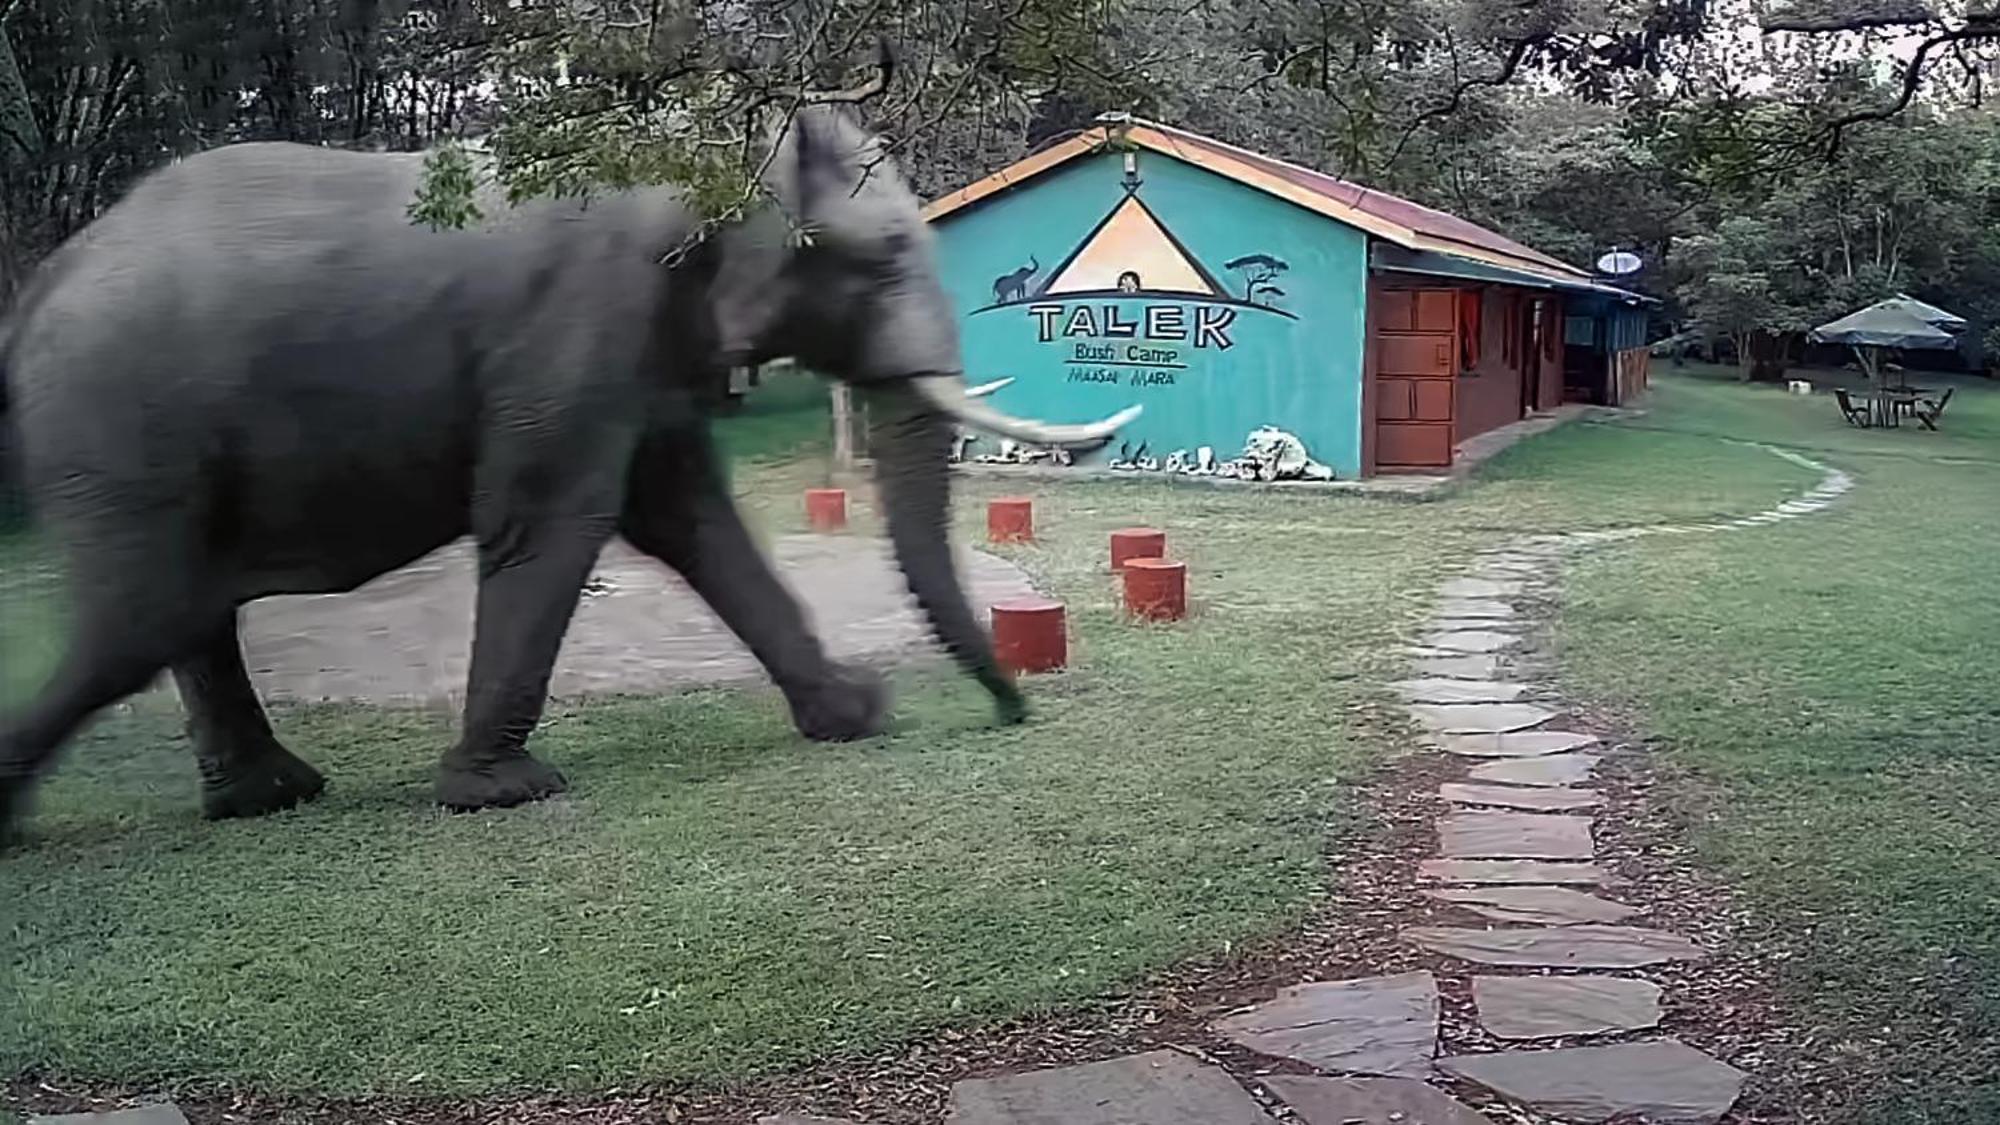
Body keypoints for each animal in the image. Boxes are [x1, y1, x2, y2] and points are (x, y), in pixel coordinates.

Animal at [0, 105, 1136, 836]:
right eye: (883, 257)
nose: (1009, 715)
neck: (704, 145)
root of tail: (42, 284)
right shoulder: (578, 323)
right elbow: (557, 516)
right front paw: (503, 792)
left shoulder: (651, 342)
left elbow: (687, 516)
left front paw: (854, 717)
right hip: (121, 414)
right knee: (141, 614)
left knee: (181, 608)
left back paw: (271, 798)